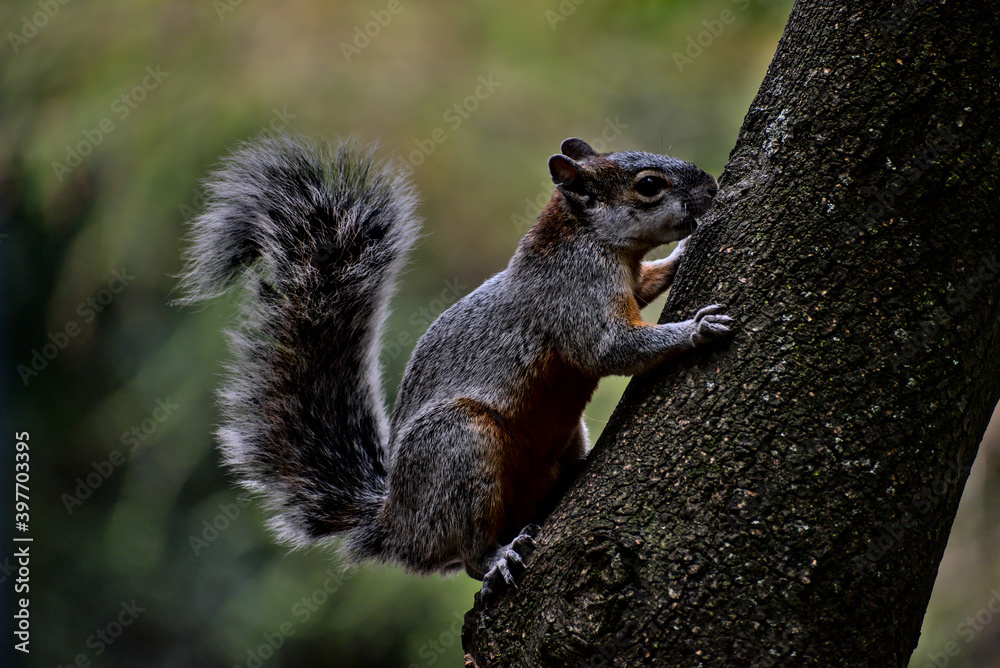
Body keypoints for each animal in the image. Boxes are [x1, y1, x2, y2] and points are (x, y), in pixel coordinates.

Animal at [177, 134, 732, 601]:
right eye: (649, 185)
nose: (712, 187)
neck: (588, 239)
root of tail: (397, 525)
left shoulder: (627, 281)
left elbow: (647, 285)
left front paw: (682, 254)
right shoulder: (573, 295)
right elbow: (609, 349)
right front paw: (697, 328)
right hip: (459, 444)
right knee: (467, 554)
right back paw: (497, 558)